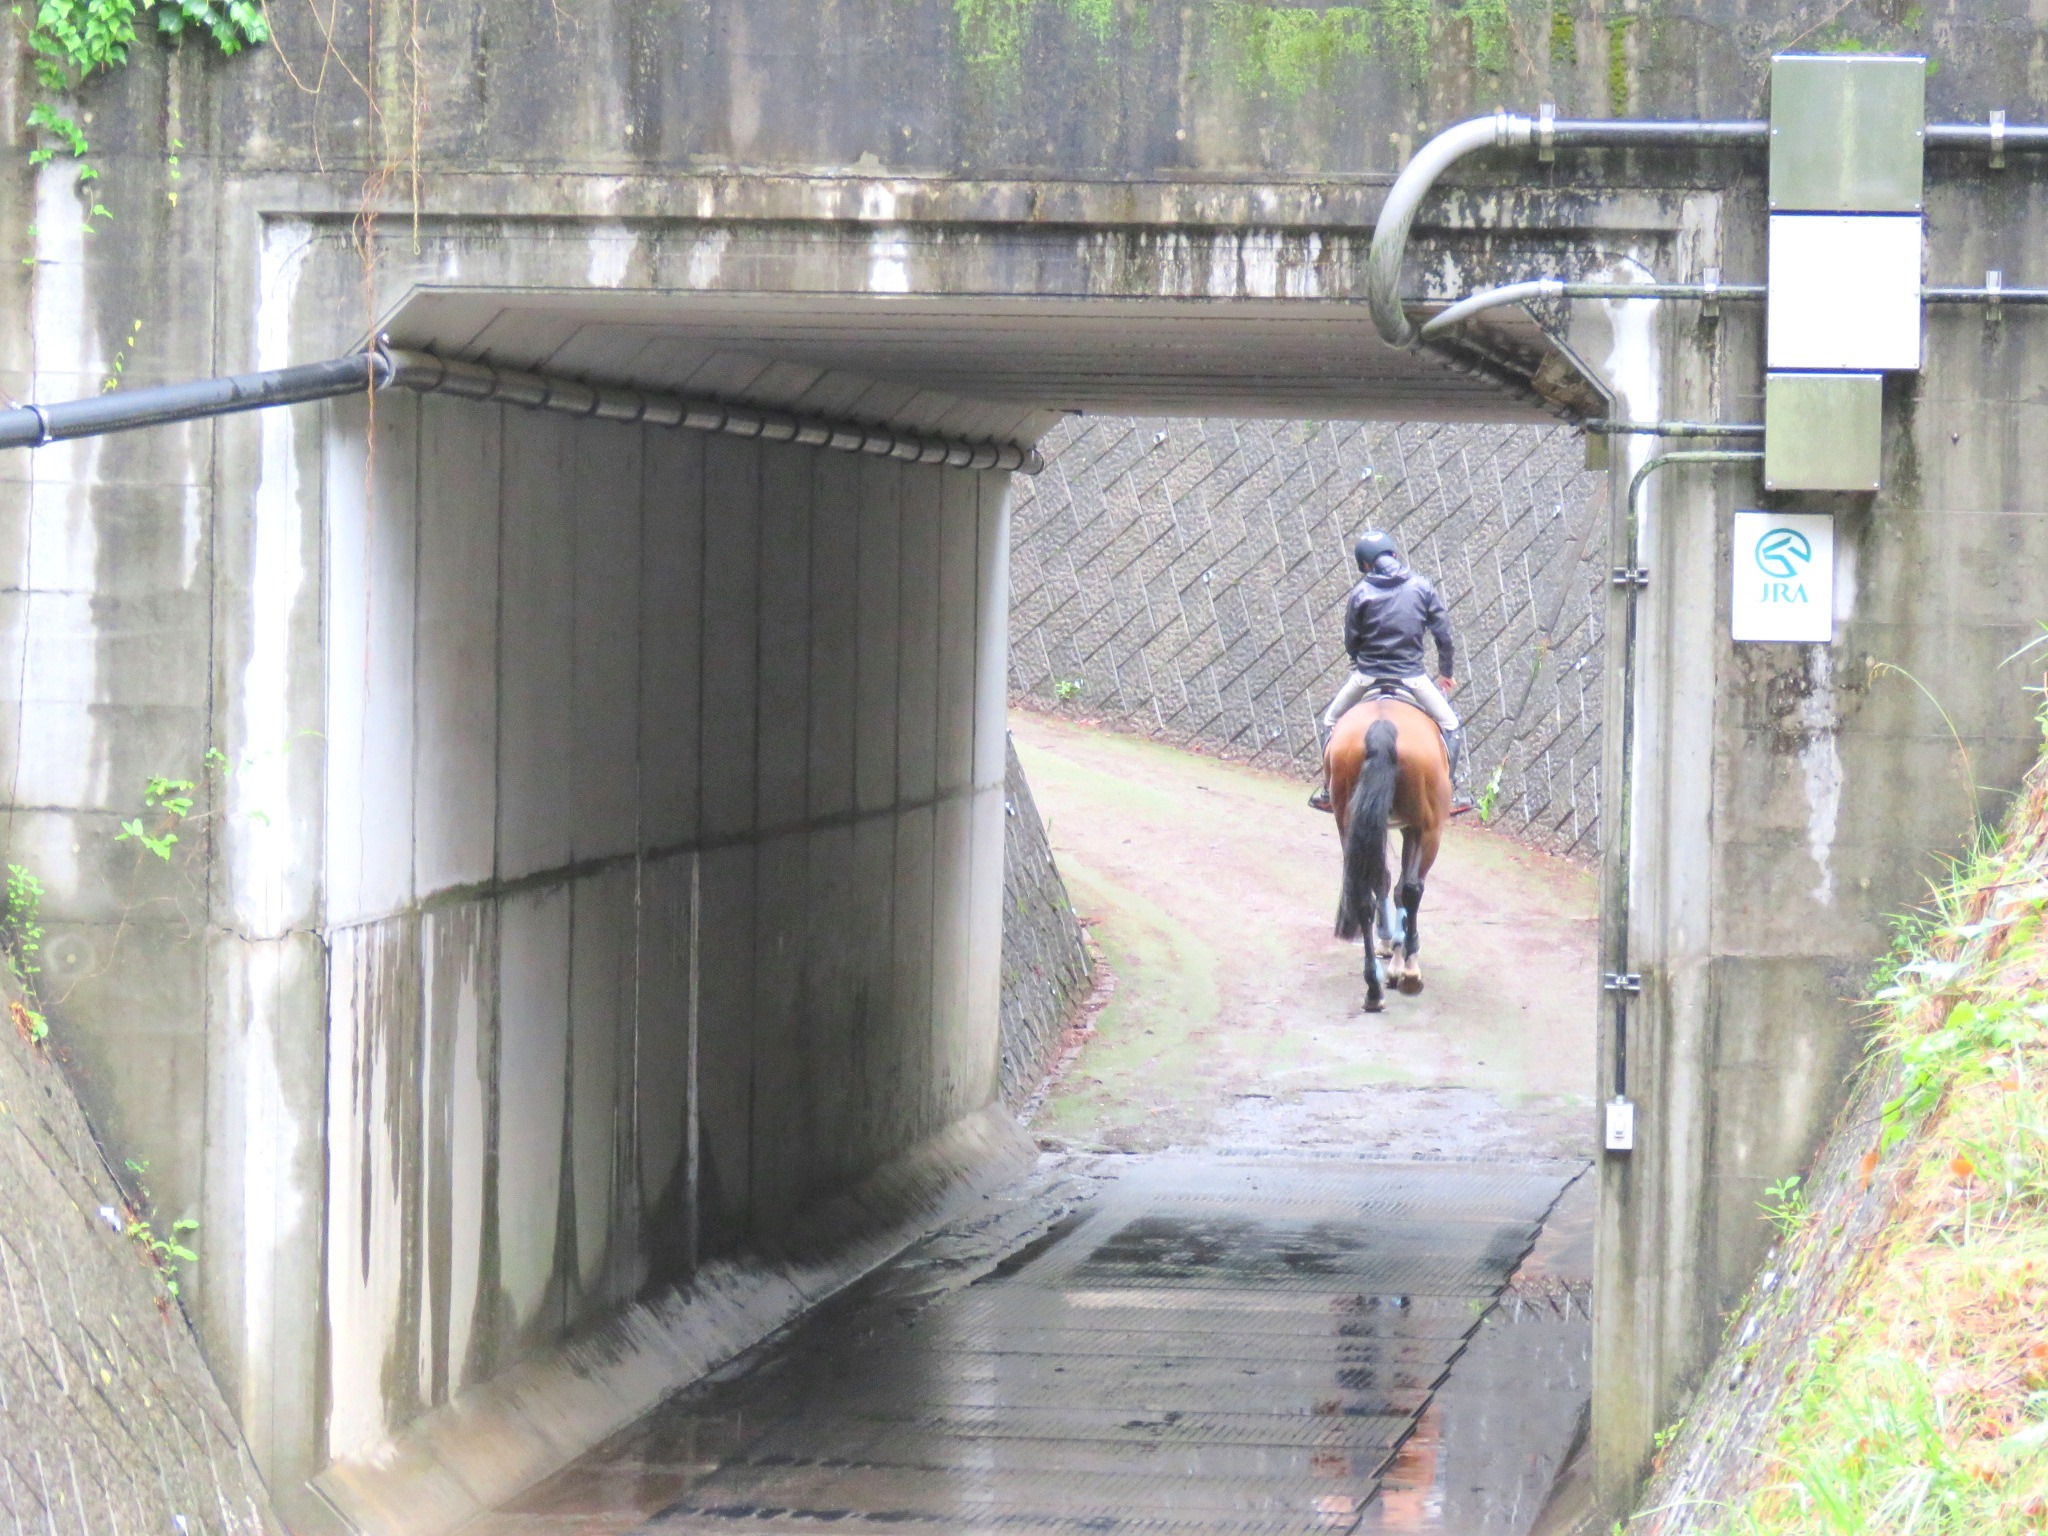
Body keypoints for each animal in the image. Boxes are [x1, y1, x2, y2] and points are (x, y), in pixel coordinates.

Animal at [1327, 696, 1458, 1011]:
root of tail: (1383, 725)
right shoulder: (1414, 828)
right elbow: (1401, 889)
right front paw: (1399, 959)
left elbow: (1383, 882)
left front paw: (1389, 948)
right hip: (1429, 829)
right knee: (1411, 889)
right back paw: (1409, 972)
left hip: (1348, 818)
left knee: (1364, 895)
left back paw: (1373, 989)